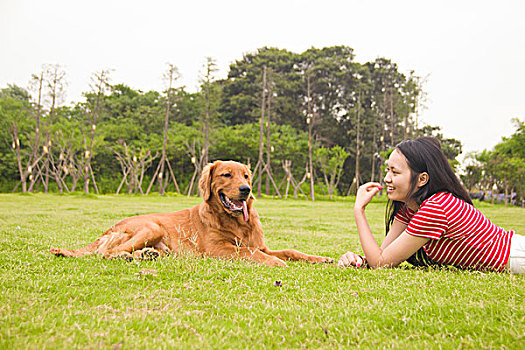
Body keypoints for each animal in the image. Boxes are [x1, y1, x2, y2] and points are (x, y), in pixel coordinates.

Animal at [51, 160, 334, 266]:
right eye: (226, 175)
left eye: (245, 175)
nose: (246, 190)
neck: (235, 222)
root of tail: (108, 229)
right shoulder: (218, 249)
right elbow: (250, 252)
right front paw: (276, 263)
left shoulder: (260, 245)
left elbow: (291, 250)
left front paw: (320, 258)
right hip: (152, 226)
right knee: (107, 253)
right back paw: (132, 256)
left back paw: (147, 254)